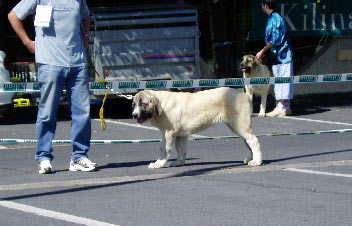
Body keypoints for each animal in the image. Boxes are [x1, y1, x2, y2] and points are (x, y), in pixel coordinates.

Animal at [131, 87, 262, 169]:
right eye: (134, 105)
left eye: (143, 104)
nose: (134, 115)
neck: (162, 105)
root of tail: (245, 95)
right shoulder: (180, 135)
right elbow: (181, 149)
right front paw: (179, 162)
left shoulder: (168, 133)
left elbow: (164, 149)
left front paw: (158, 163)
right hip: (239, 126)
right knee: (248, 141)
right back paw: (251, 158)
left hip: (239, 125)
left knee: (253, 140)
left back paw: (257, 161)